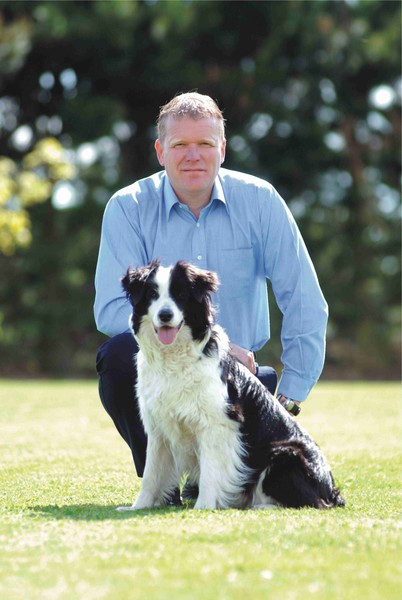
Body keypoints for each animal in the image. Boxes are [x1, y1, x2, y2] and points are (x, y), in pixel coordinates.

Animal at [119, 258, 346, 510]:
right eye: (152, 294)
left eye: (181, 294)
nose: (165, 315)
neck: (174, 357)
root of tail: (331, 489)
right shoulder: (158, 427)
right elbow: (151, 473)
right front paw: (138, 507)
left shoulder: (217, 424)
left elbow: (210, 471)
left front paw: (204, 507)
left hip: (285, 454)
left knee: (313, 502)